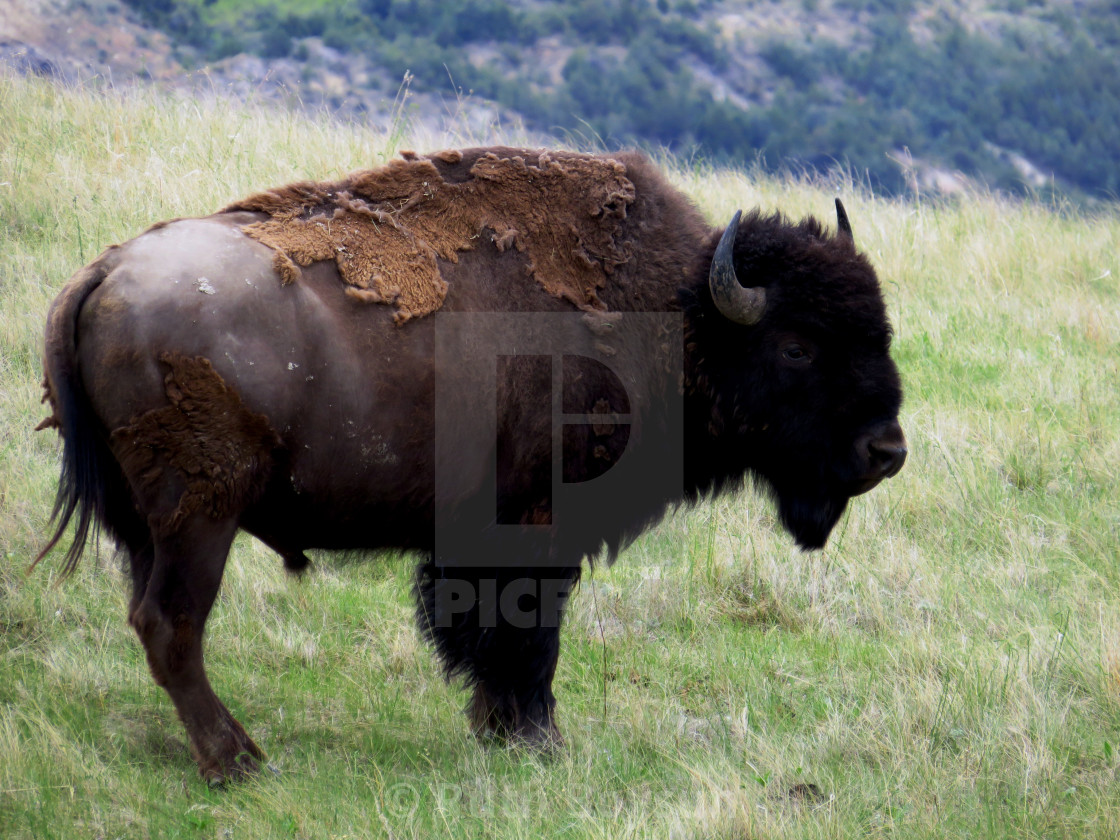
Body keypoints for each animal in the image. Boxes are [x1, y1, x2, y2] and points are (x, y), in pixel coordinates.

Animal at [39, 144, 904, 784]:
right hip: (201, 516)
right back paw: (240, 762)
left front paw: (500, 731)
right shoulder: (537, 527)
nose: (886, 451)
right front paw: (537, 742)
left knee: (151, 621)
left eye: (878, 330)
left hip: (142, 523)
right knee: (172, 623)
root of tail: (103, 274)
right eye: (797, 345)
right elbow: (526, 635)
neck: (677, 313)